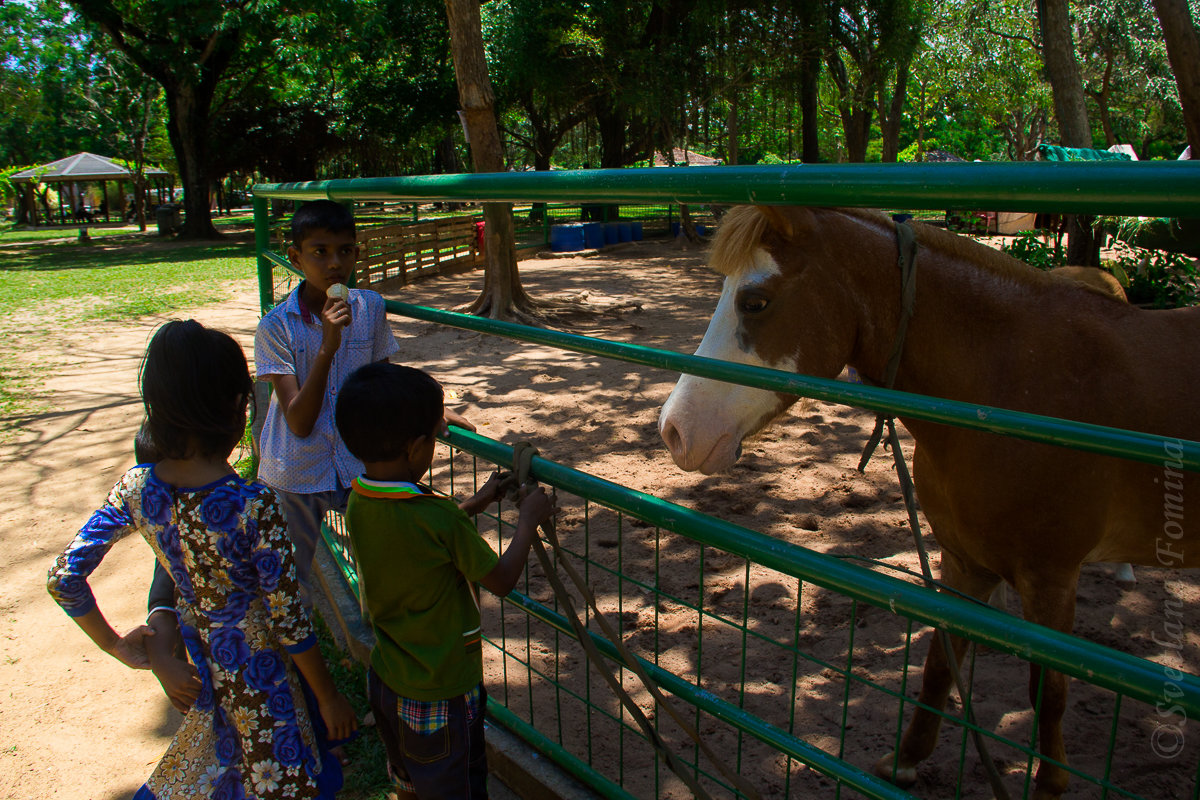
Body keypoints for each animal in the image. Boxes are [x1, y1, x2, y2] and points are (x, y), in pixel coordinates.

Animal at [662, 208, 1195, 800]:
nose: (674, 431)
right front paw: (905, 760)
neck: (1017, 387)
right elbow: (942, 661)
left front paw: (1049, 785)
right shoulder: (965, 563)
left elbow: (1049, 692)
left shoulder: (1051, 579)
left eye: (755, 301)